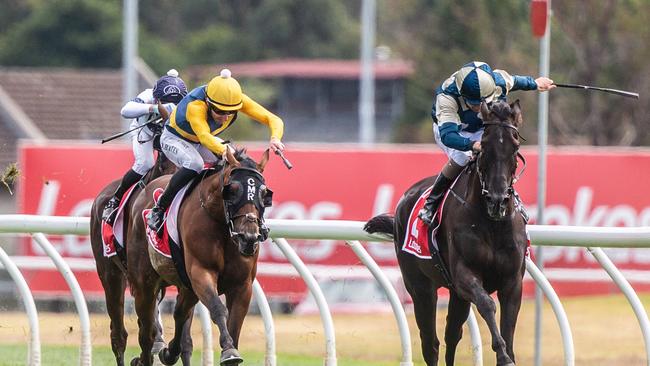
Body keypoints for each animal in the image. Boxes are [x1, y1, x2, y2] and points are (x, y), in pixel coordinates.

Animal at [126, 149, 270, 366]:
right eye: (233, 190)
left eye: (264, 193)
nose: (249, 237)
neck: (221, 224)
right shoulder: (201, 272)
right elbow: (218, 308)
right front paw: (229, 350)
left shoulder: (242, 285)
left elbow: (234, 323)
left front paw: (231, 348)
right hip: (145, 283)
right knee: (146, 329)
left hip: (186, 287)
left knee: (179, 314)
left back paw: (169, 352)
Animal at [364, 100, 528, 366]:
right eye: (485, 146)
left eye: (515, 146)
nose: (497, 201)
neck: (492, 223)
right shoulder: (464, 275)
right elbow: (487, 304)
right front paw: (502, 353)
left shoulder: (512, 281)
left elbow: (508, 331)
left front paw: (506, 355)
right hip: (420, 287)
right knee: (430, 342)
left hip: (454, 294)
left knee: (452, 334)